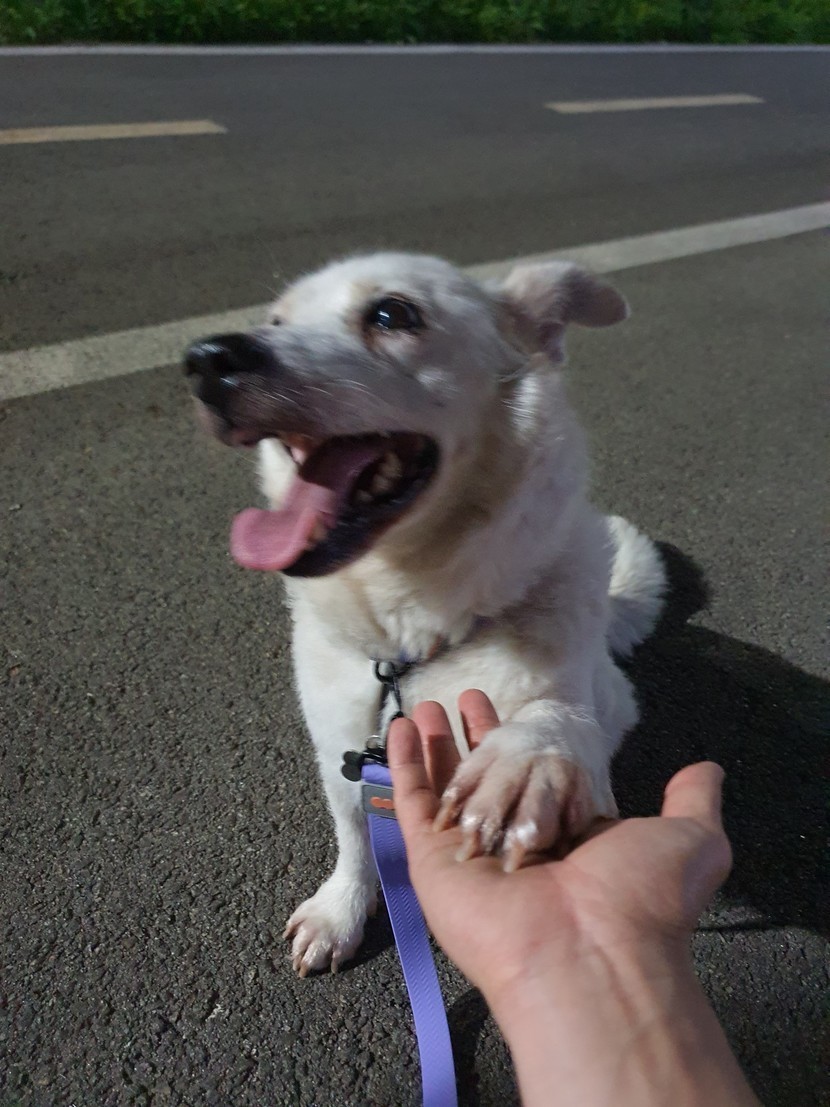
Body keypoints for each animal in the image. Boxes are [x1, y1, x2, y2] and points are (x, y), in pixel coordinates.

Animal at [185, 252, 665, 976]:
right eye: (276, 320)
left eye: (392, 313)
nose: (208, 360)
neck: (411, 638)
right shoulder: (343, 755)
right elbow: (355, 841)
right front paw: (340, 912)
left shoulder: (555, 692)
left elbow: (549, 718)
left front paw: (524, 762)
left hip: (610, 695)